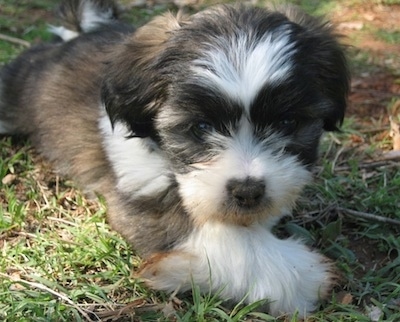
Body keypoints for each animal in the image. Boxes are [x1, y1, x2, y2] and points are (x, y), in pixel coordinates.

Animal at [0, 0, 350, 316]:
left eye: (287, 123)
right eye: (201, 127)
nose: (248, 191)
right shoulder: (141, 190)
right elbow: (214, 232)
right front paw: (298, 278)